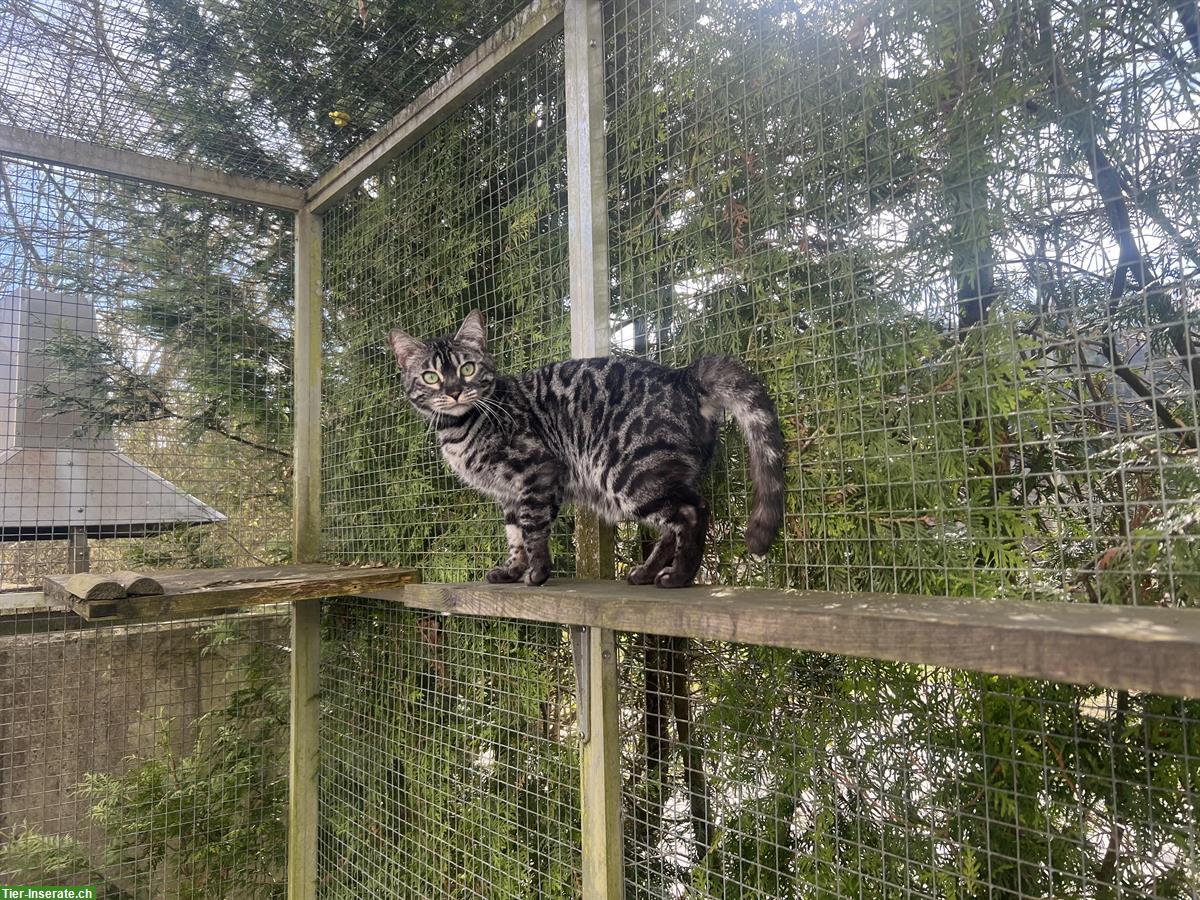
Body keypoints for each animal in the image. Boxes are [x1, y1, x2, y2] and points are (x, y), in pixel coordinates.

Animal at [386, 312, 787, 592]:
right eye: (431, 377)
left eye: (467, 369)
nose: (454, 391)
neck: (461, 427)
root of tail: (682, 376)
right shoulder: (509, 493)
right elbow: (514, 534)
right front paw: (513, 570)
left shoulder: (538, 471)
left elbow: (532, 528)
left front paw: (537, 573)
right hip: (658, 475)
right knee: (671, 524)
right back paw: (647, 572)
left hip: (631, 473)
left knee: (692, 511)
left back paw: (679, 577)